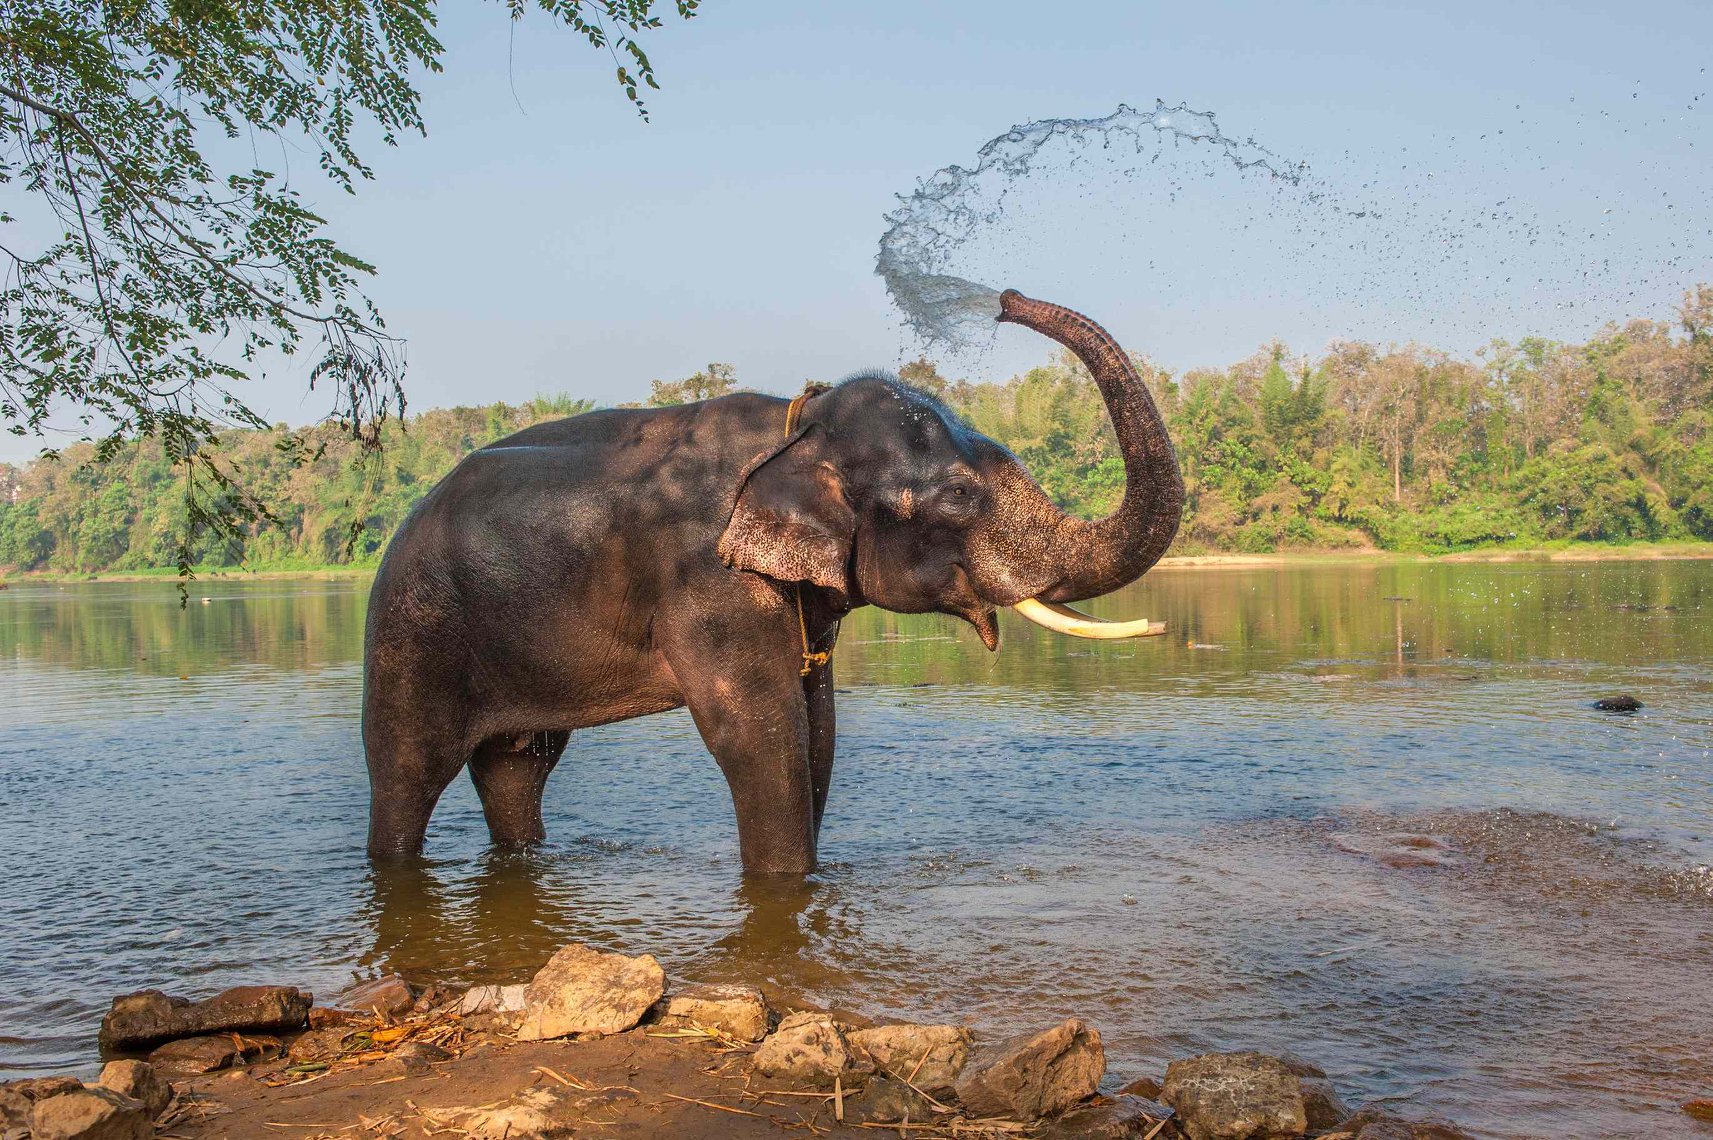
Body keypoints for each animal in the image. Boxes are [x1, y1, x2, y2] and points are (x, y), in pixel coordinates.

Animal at [364, 289, 1178, 867]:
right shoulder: (708, 578)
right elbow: (757, 732)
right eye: (956, 495)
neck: (798, 426)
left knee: (516, 765)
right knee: (408, 769)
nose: (1006, 300)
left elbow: (818, 728)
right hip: (413, 627)